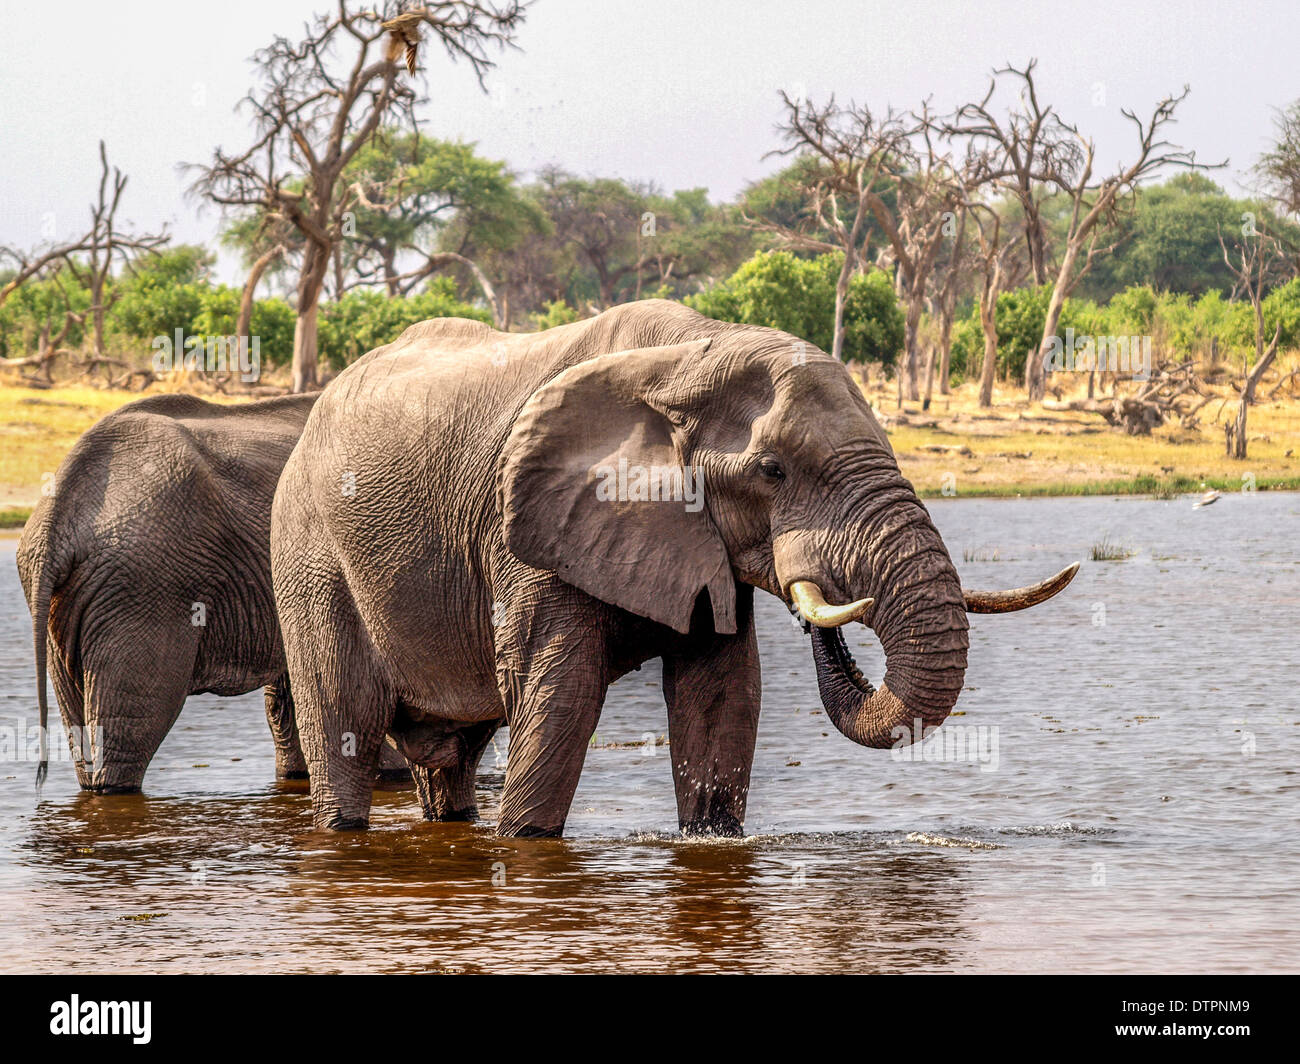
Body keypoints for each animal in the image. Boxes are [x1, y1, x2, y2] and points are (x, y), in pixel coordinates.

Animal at [271, 293, 1076, 832]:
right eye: (772, 471)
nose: (822, 610)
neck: (693, 355)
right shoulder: (526, 534)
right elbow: (559, 700)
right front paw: (525, 845)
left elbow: (724, 696)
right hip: (309, 557)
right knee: (344, 727)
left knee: (451, 756)